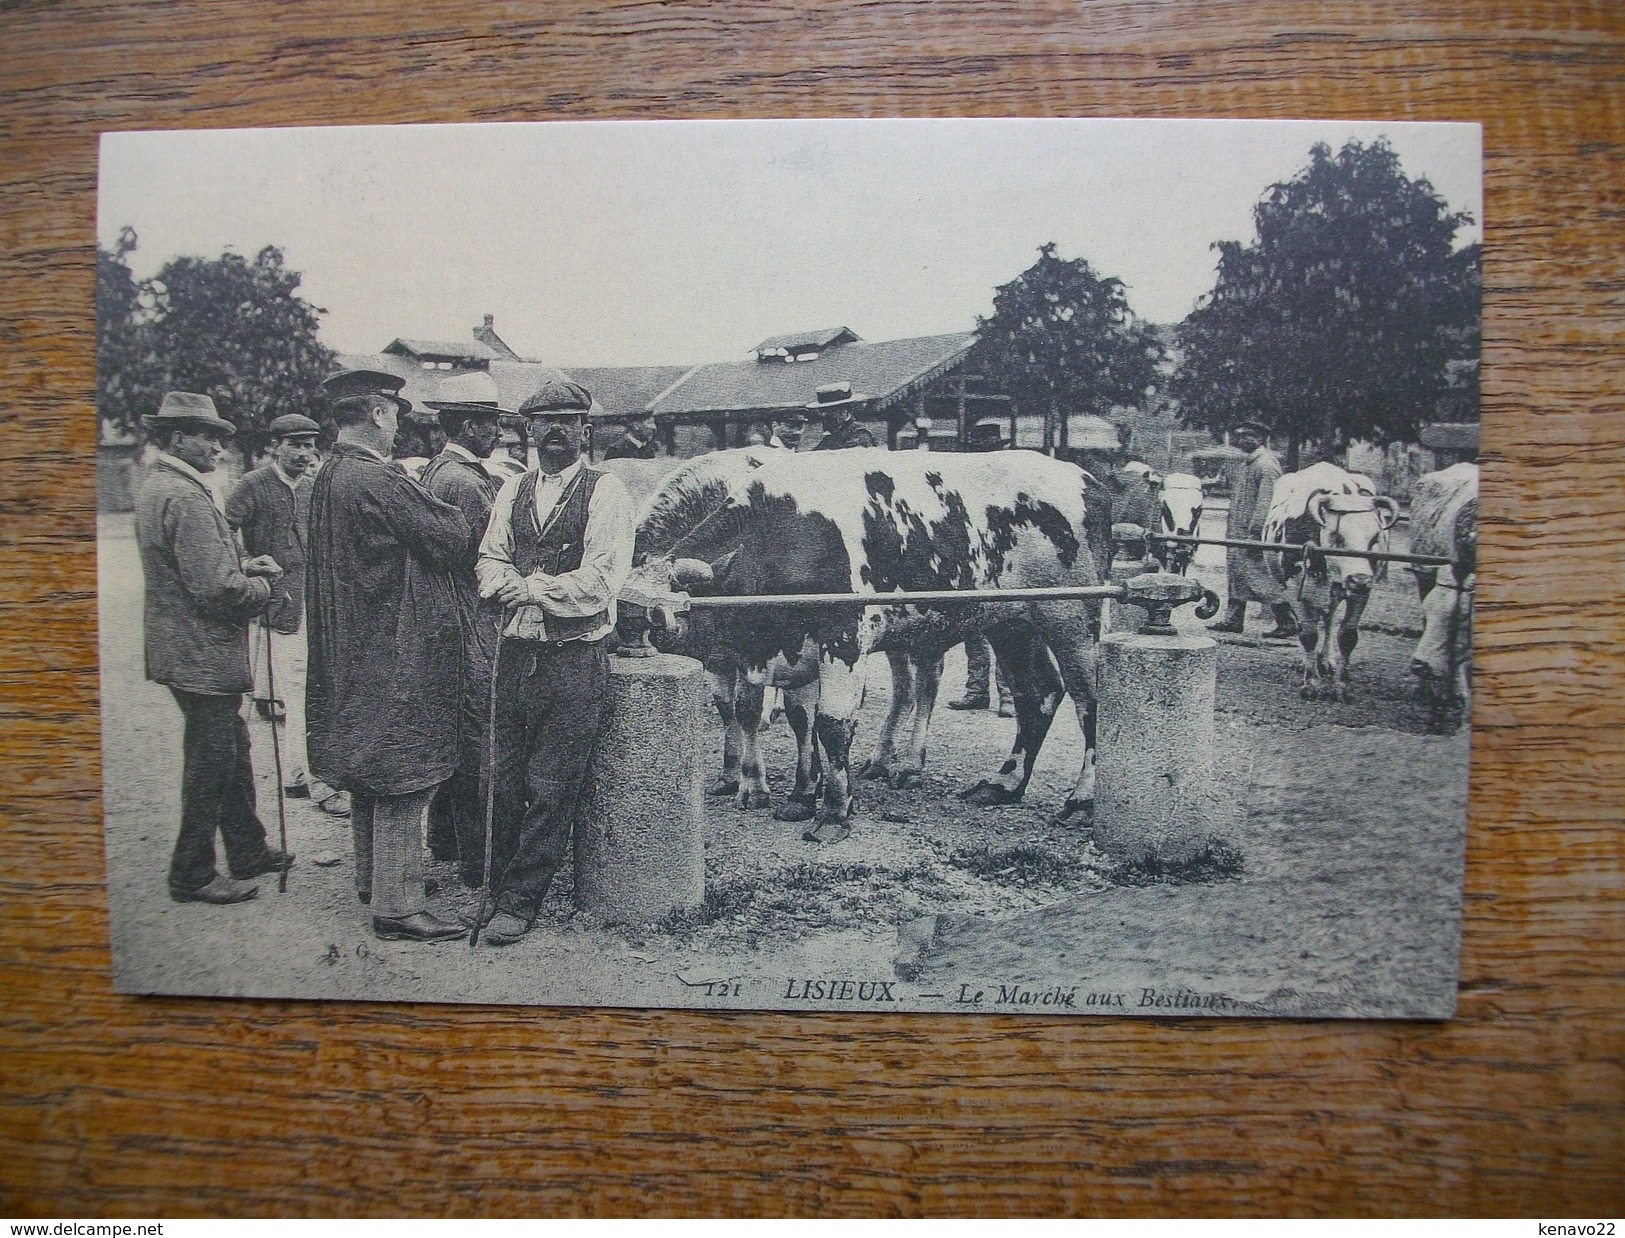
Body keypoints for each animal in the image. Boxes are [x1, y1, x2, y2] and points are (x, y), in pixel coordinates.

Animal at [624, 445, 1118, 838]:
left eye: (656, 615)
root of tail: (1088, 480)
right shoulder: (795, 651)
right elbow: (801, 720)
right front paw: (802, 797)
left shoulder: (842, 642)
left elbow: (831, 725)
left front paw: (833, 813)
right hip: (1012, 623)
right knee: (1038, 695)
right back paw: (1002, 785)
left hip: (1074, 619)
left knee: (1087, 700)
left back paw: (1080, 800)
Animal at [1261, 461, 1404, 698]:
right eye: (1338, 537)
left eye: (1375, 538)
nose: (1359, 579)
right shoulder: (1295, 588)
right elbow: (1308, 634)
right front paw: (1311, 683)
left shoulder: (1361, 594)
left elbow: (1347, 635)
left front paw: (1341, 685)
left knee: (1328, 620)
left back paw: (1326, 661)